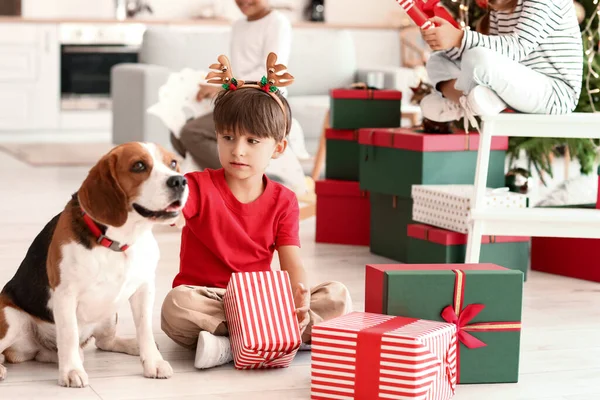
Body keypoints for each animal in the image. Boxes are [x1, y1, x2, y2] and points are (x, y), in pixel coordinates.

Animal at [0, 141, 188, 388]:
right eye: (138, 166)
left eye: (173, 163)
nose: (179, 181)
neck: (118, 242)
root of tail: (34, 350)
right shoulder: (65, 294)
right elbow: (69, 334)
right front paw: (71, 372)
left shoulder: (145, 289)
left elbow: (145, 328)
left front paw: (153, 362)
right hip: (11, 319)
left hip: (109, 315)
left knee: (104, 343)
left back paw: (131, 345)